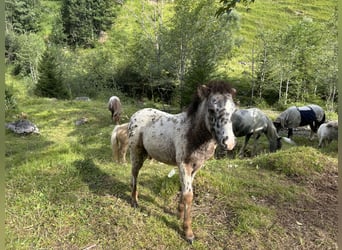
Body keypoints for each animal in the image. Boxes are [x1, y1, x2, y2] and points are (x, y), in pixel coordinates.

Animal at [127, 80, 236, 244]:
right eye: (211, 110)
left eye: (234, 110)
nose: (229, 143)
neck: (193, 134)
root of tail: (136, 114)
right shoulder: (184, 164)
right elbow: (188, 195)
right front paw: (188, 232)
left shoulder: (196, 166)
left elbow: (185, 190)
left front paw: (179, 213)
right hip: (136, 152)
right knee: (135, 173)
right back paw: (134, 201)